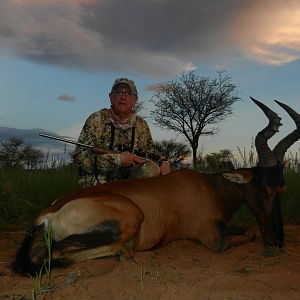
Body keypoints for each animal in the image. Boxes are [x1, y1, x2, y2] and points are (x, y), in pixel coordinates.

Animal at [10, 98, 298, 276]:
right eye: (262, 188)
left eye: (281, 187)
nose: (278, 241)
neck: (208, 186)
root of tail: (48, 213)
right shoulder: (211, 239)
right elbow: (246, 235)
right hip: (127, 220)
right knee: (53, 254)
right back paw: (124, 253)